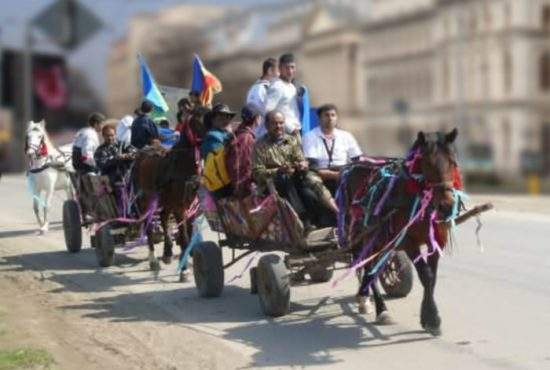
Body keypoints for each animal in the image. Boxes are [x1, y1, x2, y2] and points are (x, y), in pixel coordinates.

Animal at [134, 106, 211, 274]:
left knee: (163, 217)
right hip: (146, 201)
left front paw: (189, 255)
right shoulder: (180, 207)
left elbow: (189, 231)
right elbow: (184, 235)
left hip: (165, 200)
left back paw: (167, 252)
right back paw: (153, 259)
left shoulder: (192, 206)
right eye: (197, 119)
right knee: (148, 225)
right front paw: (184, 269)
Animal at [340, 129, 462, 336]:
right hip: (361, 233)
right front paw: (432, 318)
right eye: (427, 164)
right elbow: (426, 276)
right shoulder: (409, 241)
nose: (446, 207)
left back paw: (365, 298)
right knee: (367, 265)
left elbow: (432, 278)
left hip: (379, 237)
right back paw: (379, 308)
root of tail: (353, 165)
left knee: (370, 264)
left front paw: (427, 317)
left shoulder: (437, 240)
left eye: (452, 162)